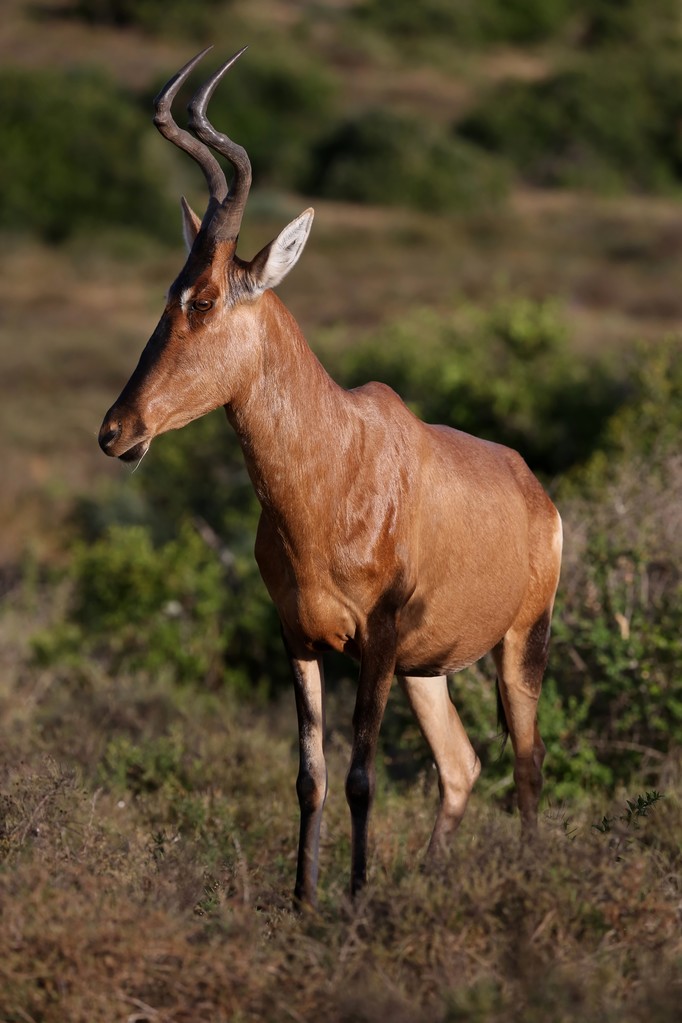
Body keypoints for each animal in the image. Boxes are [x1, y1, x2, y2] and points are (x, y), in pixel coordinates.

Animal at [98, 49, 564, 912]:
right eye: (166, 294)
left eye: (203, 298)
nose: (117, 431)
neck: (339, 460)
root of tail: (537, 493)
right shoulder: (298, 635)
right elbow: (310, 777)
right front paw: (304, 900)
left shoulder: (376, 640)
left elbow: (359, 777)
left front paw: (350, 901)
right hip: (429, 668)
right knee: (461, 765)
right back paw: (428, 879)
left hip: (522, 640)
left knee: (527, 762)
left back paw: (524, 886)